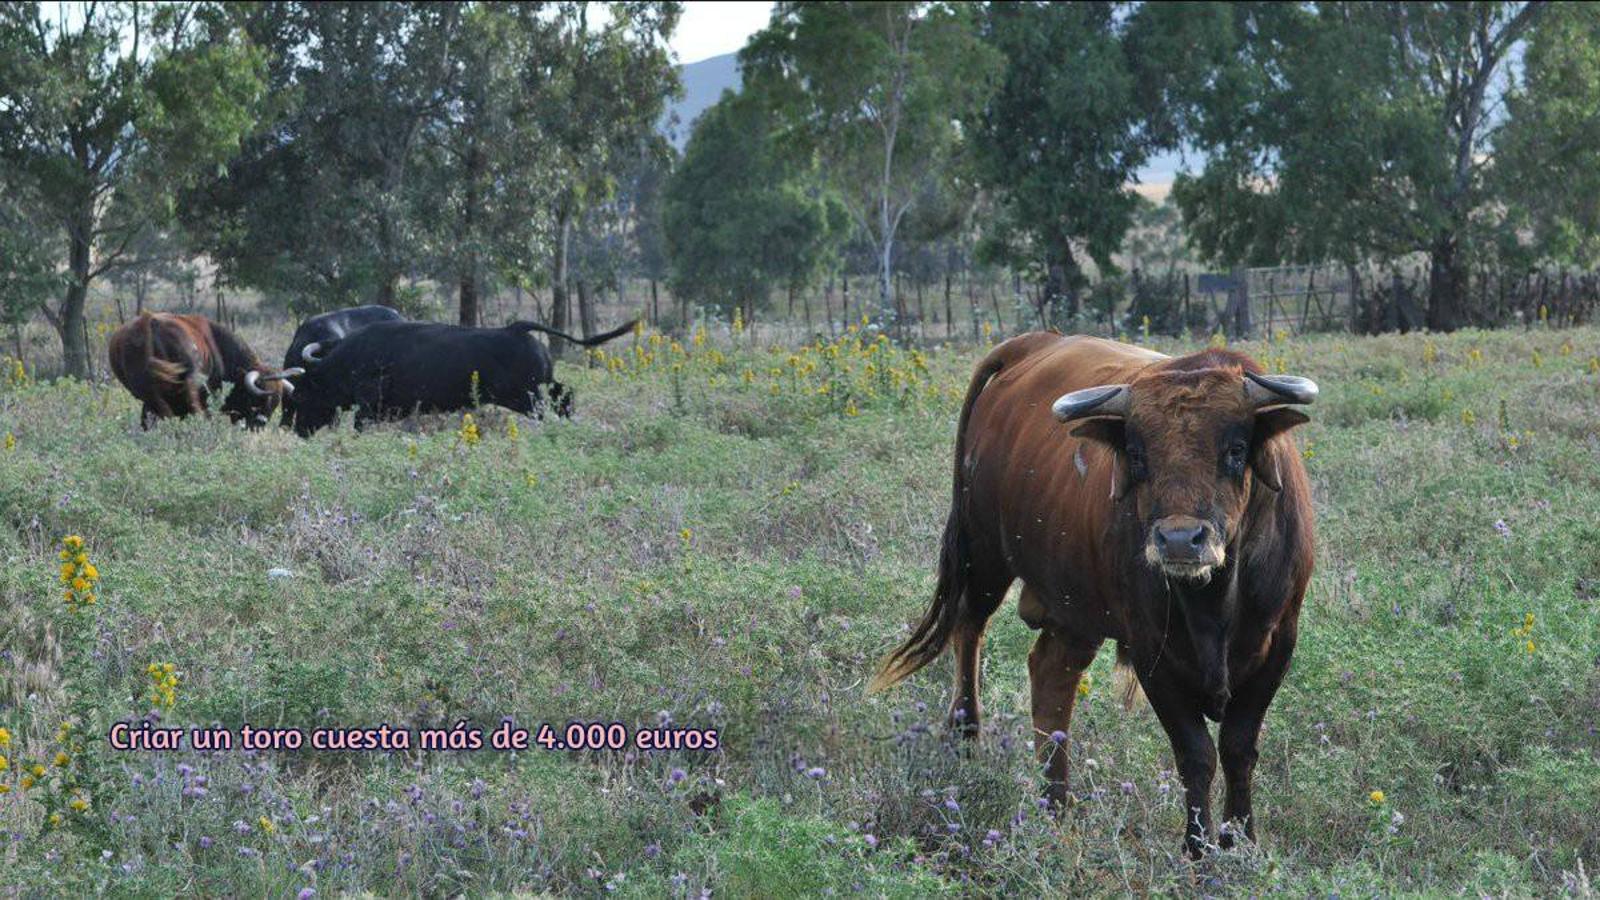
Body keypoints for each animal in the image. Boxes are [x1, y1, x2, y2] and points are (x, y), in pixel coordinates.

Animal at [109, 313, 305, 429]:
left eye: (276, 401)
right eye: (257, 398)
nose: (260, 424)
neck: (217, 346)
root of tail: (149, 321)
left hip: (146, 393)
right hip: (187, 390)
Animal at [288, 318, 636, 438]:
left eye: (304, 391)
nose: (298, 430)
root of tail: (517, 329)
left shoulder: (368, 408)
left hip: (527, 398)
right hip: (541, 389)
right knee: (565, 395)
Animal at [876, 331, 1312, 851]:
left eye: (1236, 448)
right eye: (1138, 454)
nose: (1179, 540)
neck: (1214, 603)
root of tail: (1031, 344)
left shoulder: (1279, 640)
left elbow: (1238, 747)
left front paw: (1239, 839)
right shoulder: (1151, 651)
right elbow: (1196, 754)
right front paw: (1197, 848)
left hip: (1073, 610)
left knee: (1050, 675)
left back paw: (1056, 803)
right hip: (982, 554)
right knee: (969, 627)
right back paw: (967, 736)